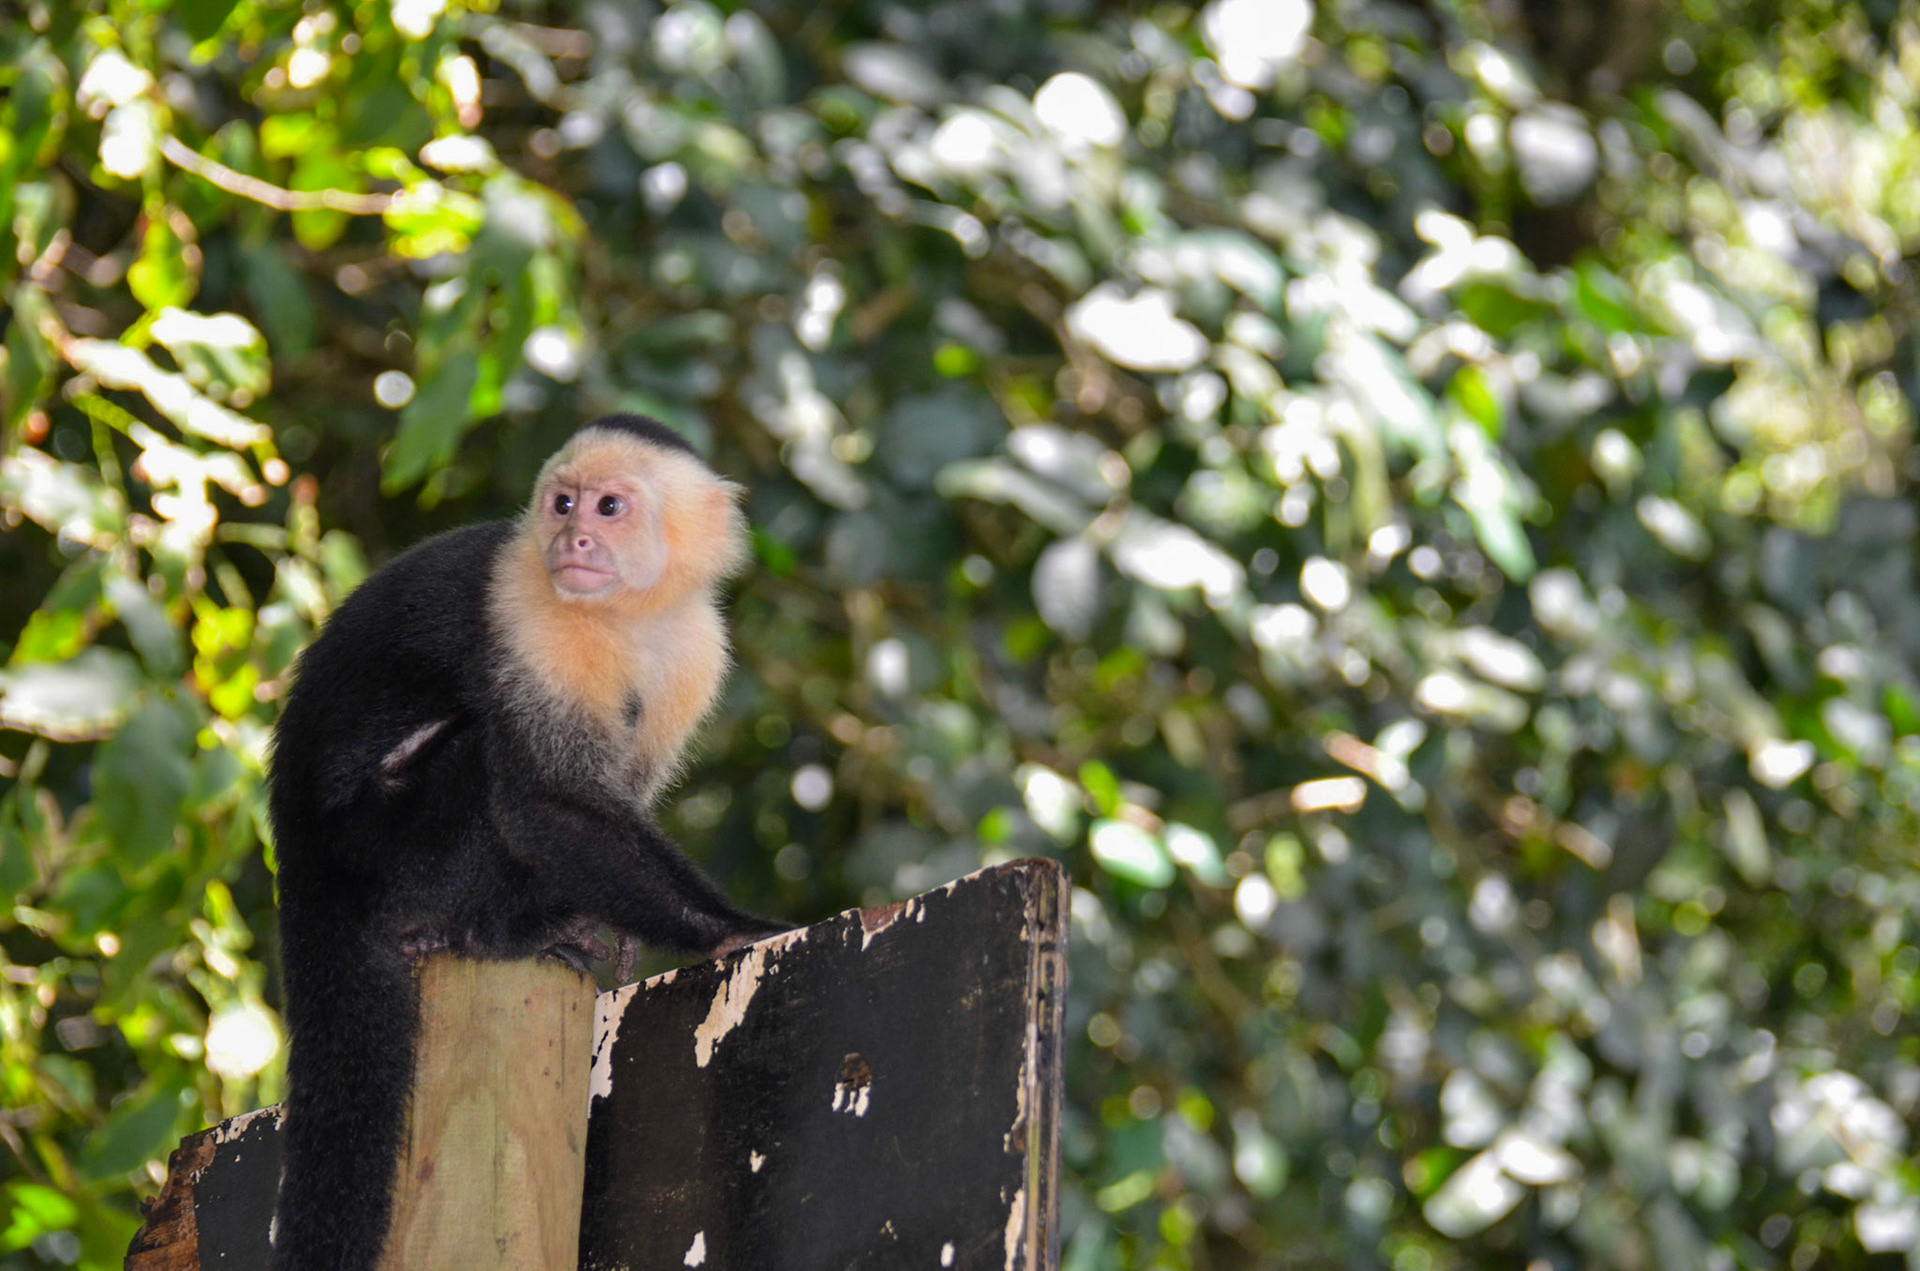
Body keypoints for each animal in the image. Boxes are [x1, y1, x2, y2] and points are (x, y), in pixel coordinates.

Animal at [265, 415, 787, 1271]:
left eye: (609, 506)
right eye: (562, 502)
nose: (573, 538)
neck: (628, 613)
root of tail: (301, 862)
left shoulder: (697, 649)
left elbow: (613, 795)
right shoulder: (527, 613)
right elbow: (545, 803)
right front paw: (731, 928)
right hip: (382, 851)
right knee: (485, 764)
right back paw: (489, 933)